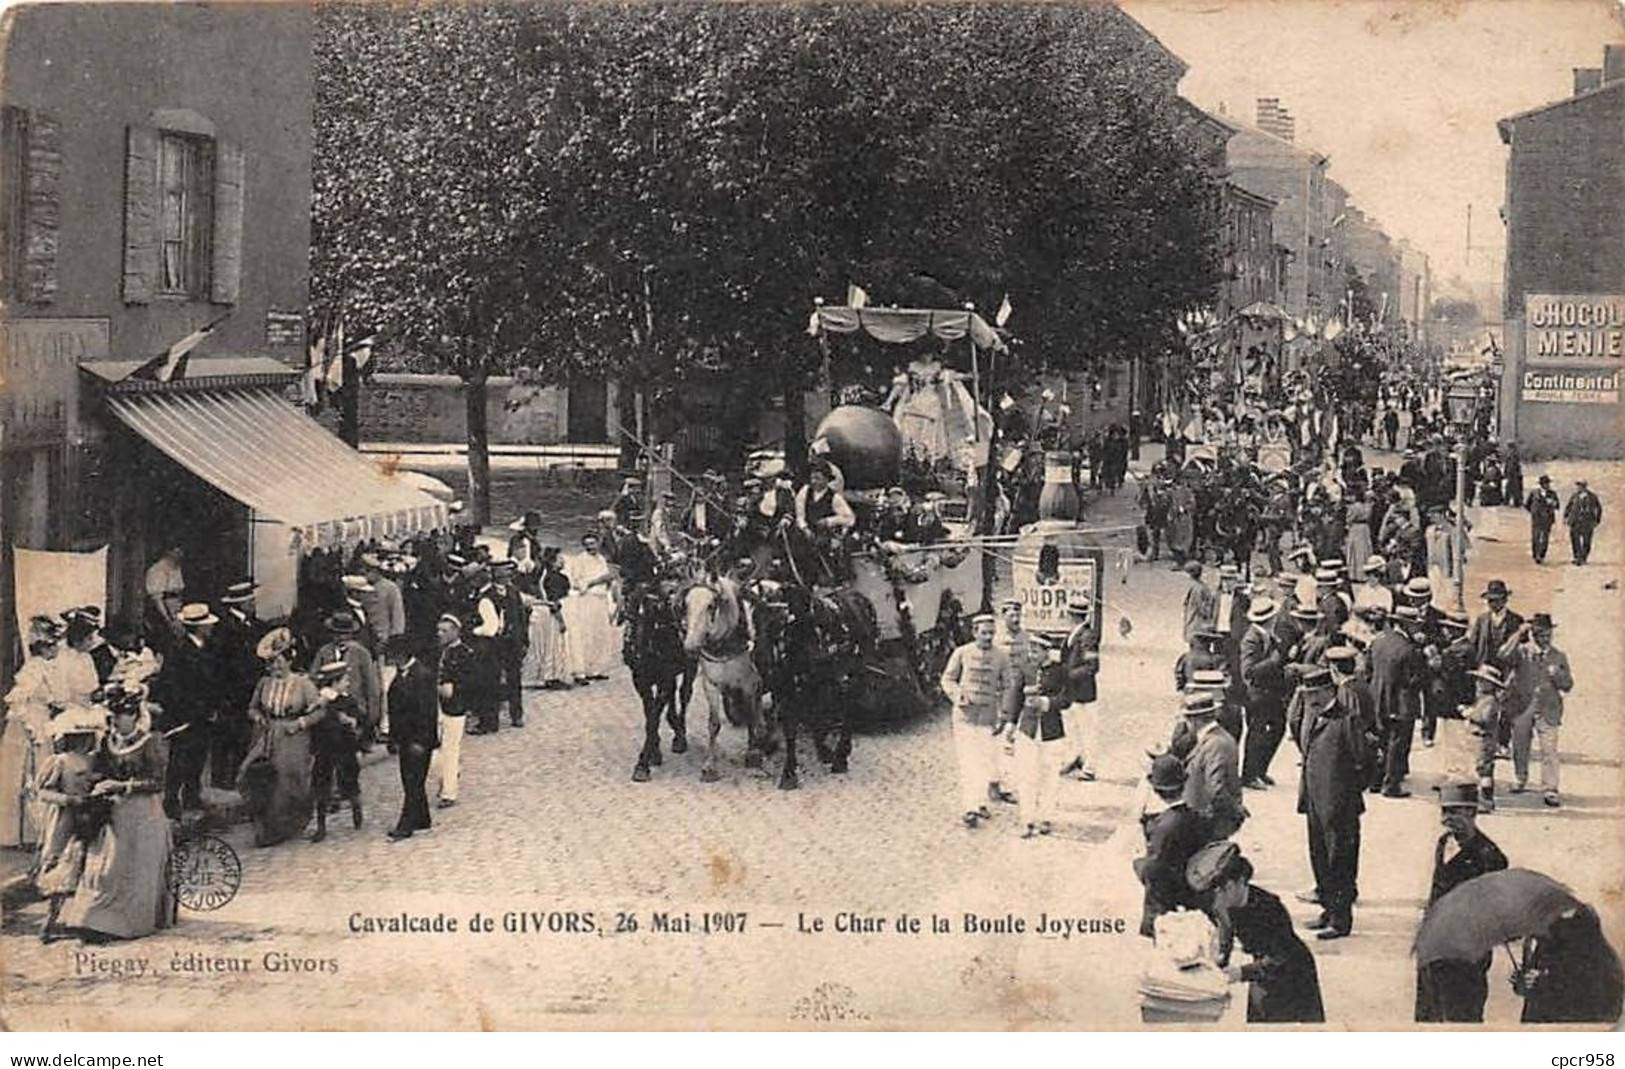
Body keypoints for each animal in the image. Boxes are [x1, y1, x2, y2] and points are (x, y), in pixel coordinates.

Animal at [682, 578, 763, 779]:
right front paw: (710, 765)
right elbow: (713, 724)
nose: (690, 646)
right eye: (686, 604)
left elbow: (751, 716)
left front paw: (753, 755)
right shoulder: (711, 684)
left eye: (711, 605)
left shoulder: (750, 683)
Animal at [757, 578, 884, 786]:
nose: (761, 658)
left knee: (849, 708)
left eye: (780, 619)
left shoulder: (818, 682)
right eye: (755, 616)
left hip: (857, 672)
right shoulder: (786, 686)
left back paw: (841, 755)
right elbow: (794, 723)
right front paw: (791, 770)